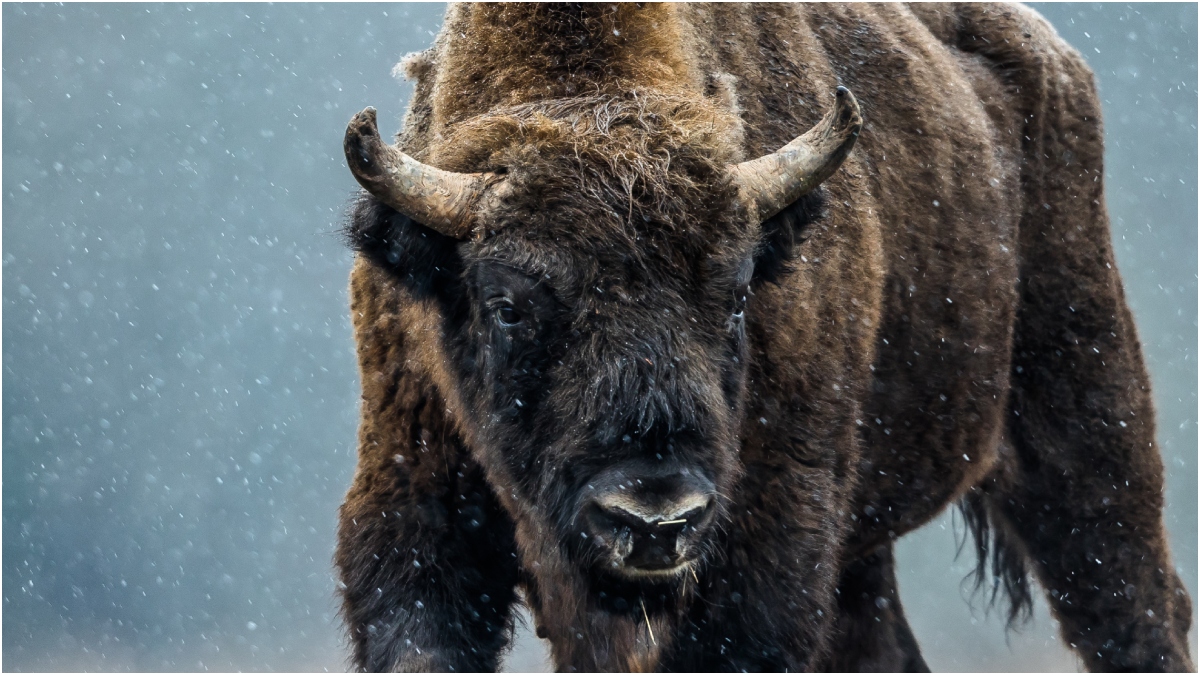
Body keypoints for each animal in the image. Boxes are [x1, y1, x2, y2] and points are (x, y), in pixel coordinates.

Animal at [334, 3, 1193, 671]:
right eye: (508, 304)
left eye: (739, 294)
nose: (655, 517)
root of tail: (1056, 63)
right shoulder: (415, 505)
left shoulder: (770, 534)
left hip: (1090, 417)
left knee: (1133, 603)